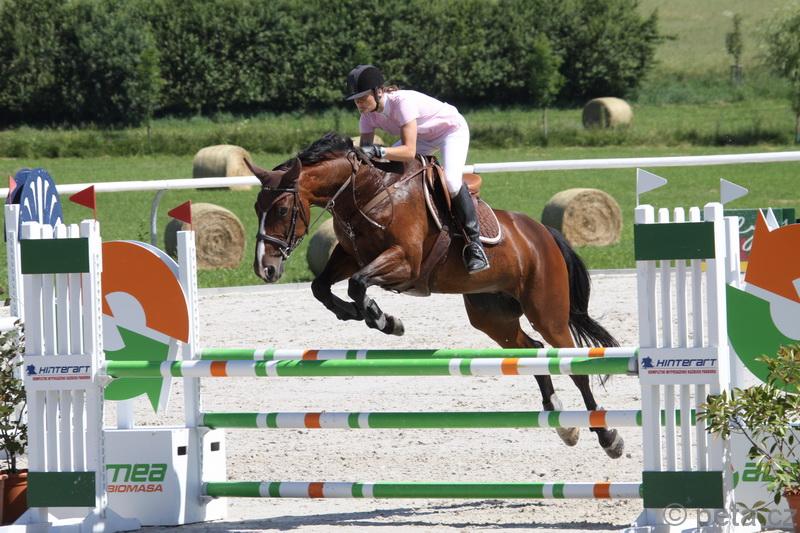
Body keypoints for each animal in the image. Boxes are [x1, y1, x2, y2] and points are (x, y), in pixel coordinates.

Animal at [245, 132, 624, 458]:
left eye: (281, 210)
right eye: (255, 209)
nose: (265, 269)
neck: (368, 192)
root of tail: (544, 232)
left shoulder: (405, 262)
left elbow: (357, 283)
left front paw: (384, 319)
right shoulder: (350, 254)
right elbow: (321, 287)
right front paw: (360, 314)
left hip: (547, 311)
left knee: (573, 365)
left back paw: (607, 436)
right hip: (493, 317)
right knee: (531, 350)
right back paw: (561, 422)